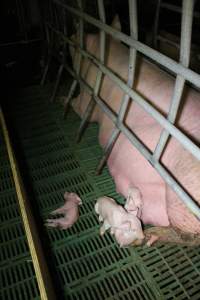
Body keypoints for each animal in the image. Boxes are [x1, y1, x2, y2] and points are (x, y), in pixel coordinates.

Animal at [69, 24, 200, 239]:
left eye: (72, 43)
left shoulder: (90, 92)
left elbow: (79, 107)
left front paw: (63, 99)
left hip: (184, 191)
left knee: (187, 234)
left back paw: (153, 236)